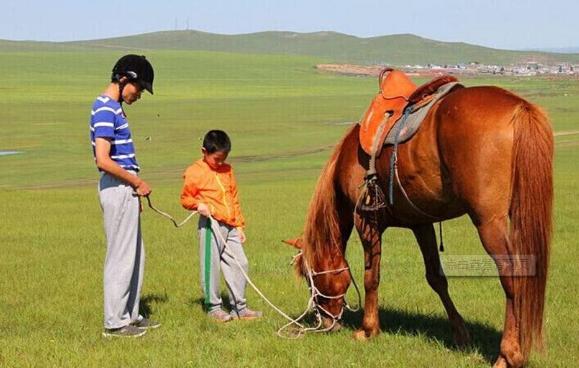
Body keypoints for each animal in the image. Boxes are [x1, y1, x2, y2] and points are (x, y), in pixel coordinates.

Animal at [288, 69, 556, 368]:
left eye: (310, 277)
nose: (325, 322)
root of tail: (518, 107)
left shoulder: (365, 221)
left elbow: (371, 277)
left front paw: (368, 329)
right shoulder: (421, 224)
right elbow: (436, 277)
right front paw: (460, 334)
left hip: (489, 222)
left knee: (513, 275)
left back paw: (509, 354)